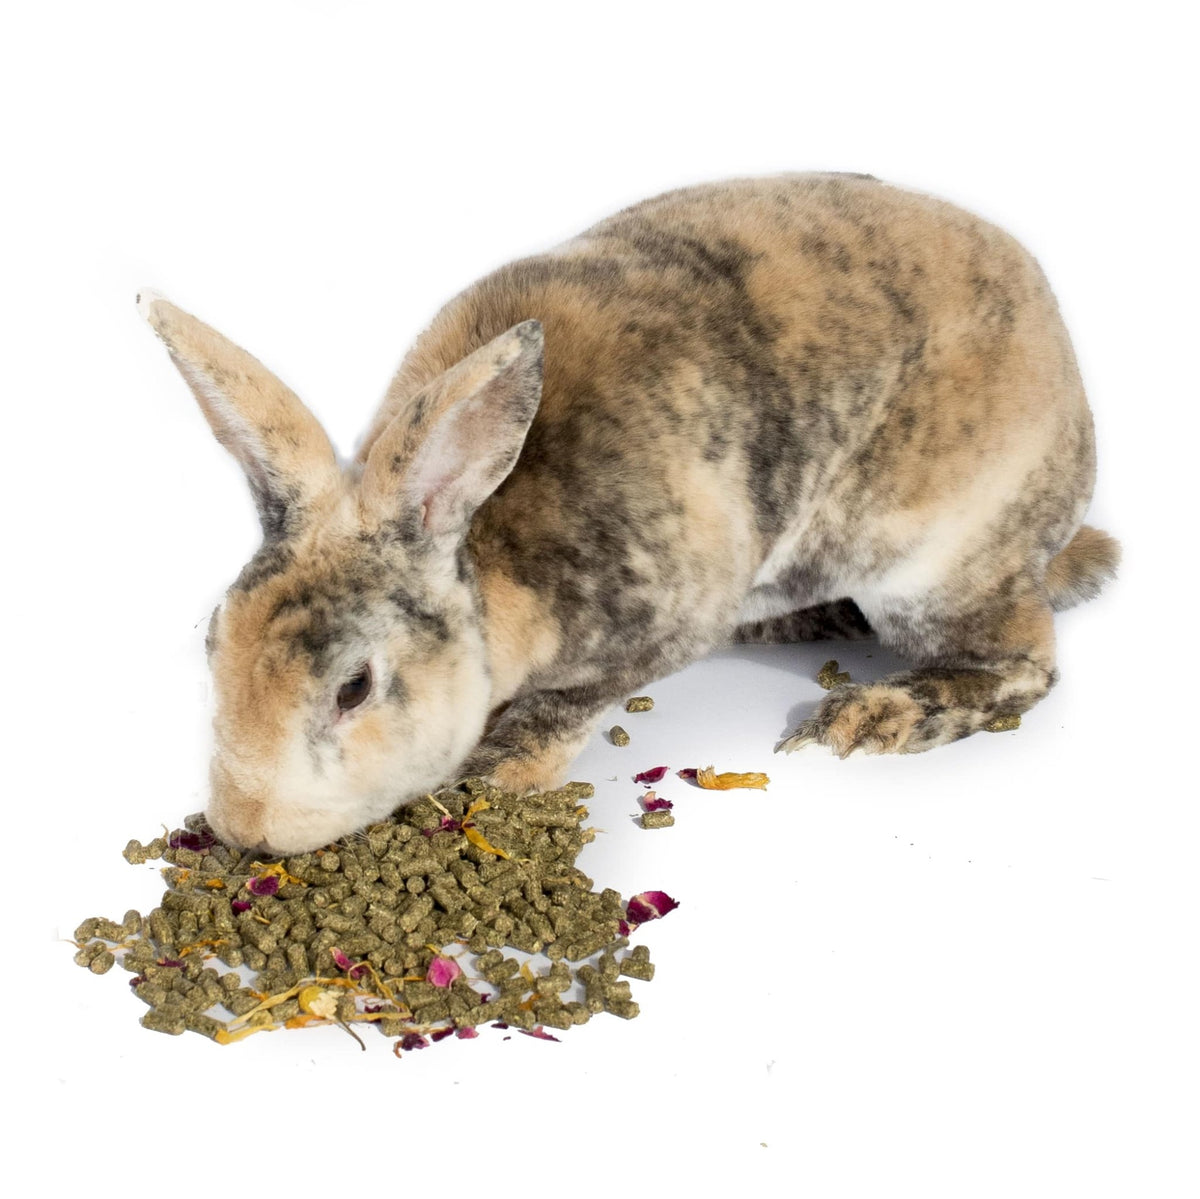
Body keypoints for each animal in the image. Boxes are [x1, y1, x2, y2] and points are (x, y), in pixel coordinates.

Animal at [139, 172, 1118, 854]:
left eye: (354, 687)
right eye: (211, 639)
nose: (246, 828)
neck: (488, 545)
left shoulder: (662, 624)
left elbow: (563, 706)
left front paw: (498, 774)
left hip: (938, 564)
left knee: (1024, 660)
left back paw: (880, 714)